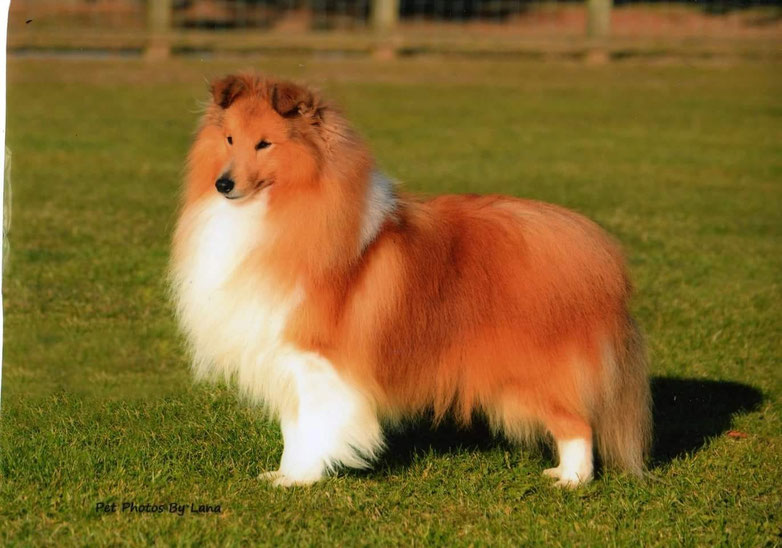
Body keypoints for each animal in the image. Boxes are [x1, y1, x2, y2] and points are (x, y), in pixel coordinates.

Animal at [170, 73, 652, 488]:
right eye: (229, 139)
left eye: (265, 144)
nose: (223, 184)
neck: (279, 209)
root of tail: (593, 252)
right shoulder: (286, 359)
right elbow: (295, 427)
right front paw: (285, 473)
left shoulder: (316, 362)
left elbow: (314, 424)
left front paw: (301, 479)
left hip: (531, 372)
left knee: (578, 424)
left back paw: (571, 480)